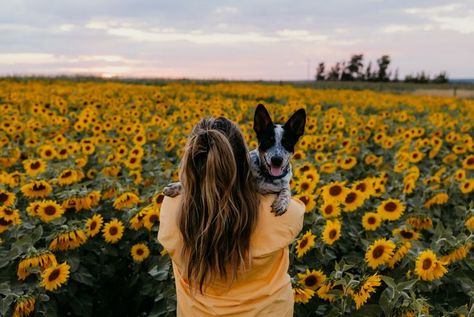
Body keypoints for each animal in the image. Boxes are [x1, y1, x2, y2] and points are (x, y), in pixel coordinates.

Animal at [163, 103, 306, 215]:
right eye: (267, 141)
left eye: (287, 143)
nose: (277, 159)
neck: (267, 176)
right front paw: (175, 187)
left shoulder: (284, 184)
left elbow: (286, 191)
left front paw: (281, 203)